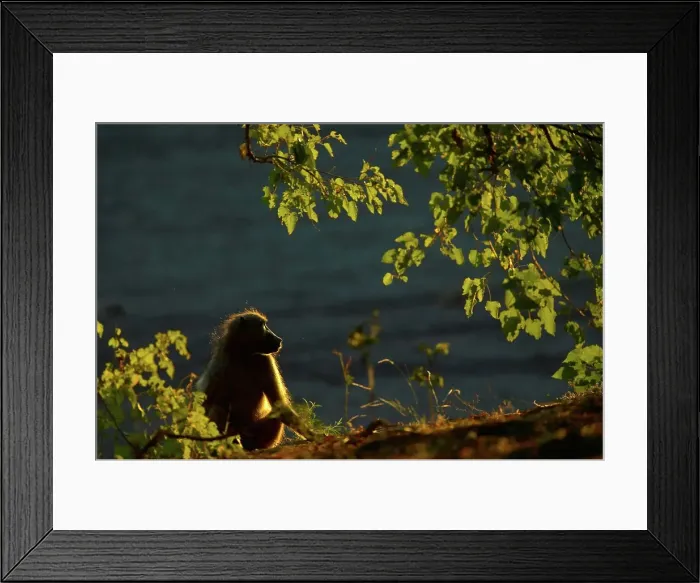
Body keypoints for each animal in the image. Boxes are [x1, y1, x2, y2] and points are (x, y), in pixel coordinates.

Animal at [196, 308, 314, 451]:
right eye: (263, 325)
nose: (279, 339)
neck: (243, 356)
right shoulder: (218, 367)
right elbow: (204, 406)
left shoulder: (265, 359)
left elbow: (279, 404)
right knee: (217, 409)